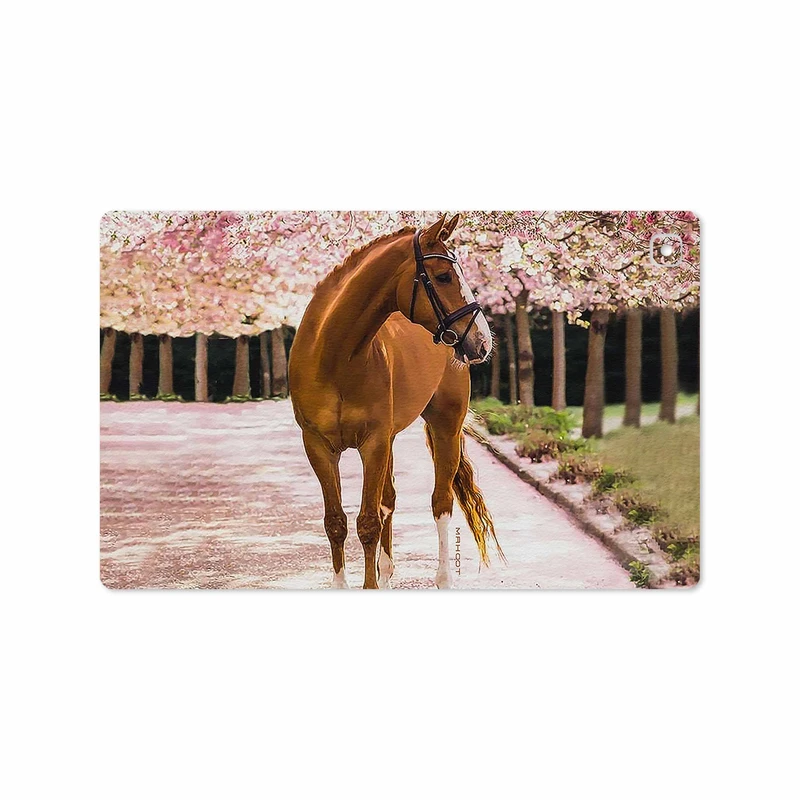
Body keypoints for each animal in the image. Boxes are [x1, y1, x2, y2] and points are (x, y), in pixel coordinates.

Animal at [289, 213, 503, 589]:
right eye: (444, 276)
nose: (482, 341)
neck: (334, 357)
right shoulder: (318, 446)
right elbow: (336, 522)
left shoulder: (373, 443)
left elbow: (368, 522)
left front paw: (370, 585)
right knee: (388, 500)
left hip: (445, 428)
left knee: (441, 503)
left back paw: (443, 578)